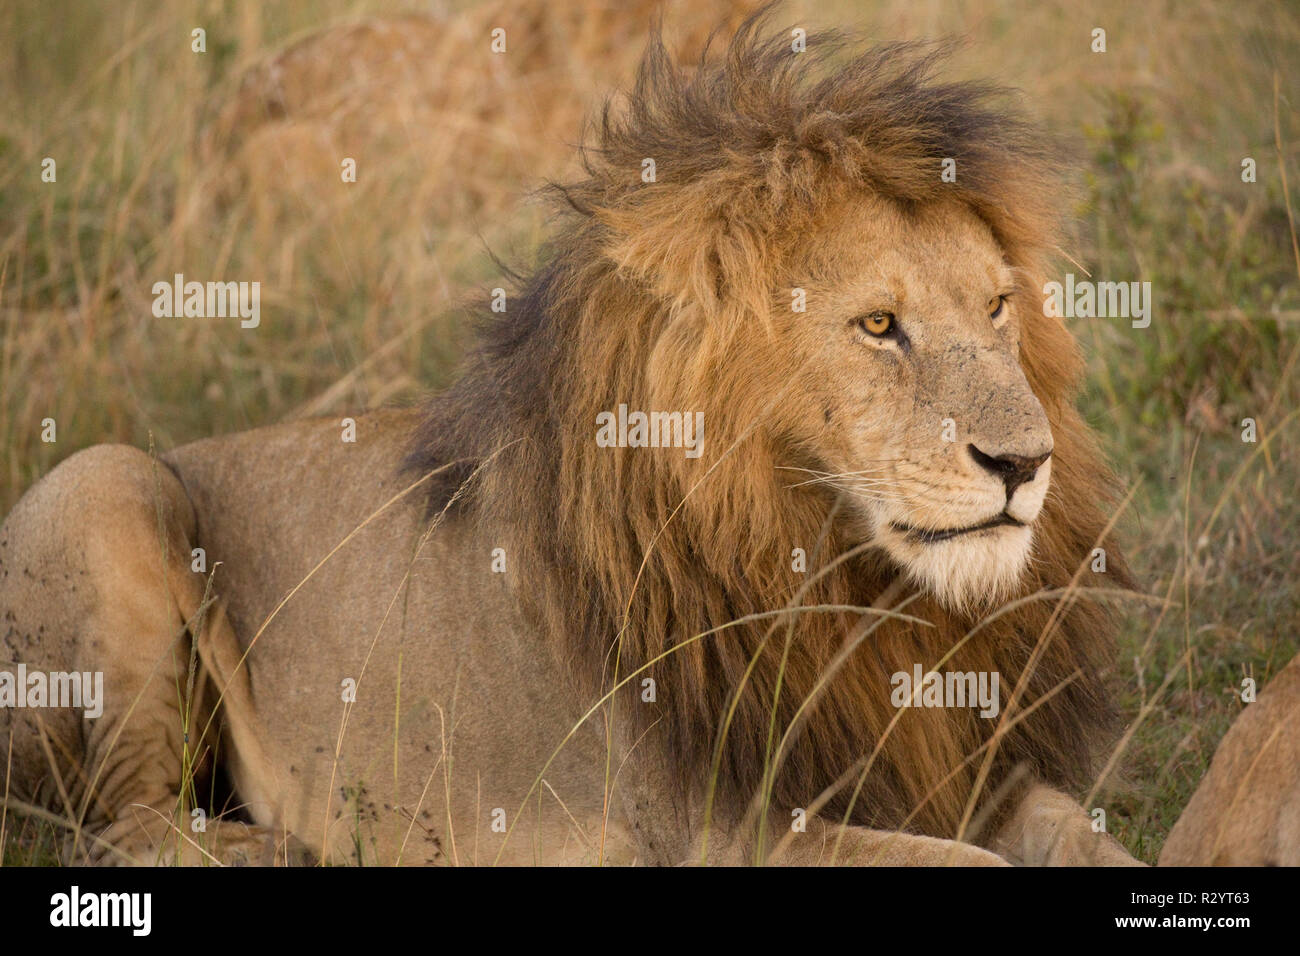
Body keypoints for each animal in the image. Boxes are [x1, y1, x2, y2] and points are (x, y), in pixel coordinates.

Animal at [0, 14, 1144, 868]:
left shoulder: (961, 767)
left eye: (997, 307)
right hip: (111, 480)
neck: (844, 578)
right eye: (877, 325)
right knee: (120, 829)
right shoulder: (729, 829)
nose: (1024, 464)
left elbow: (1078, 834)